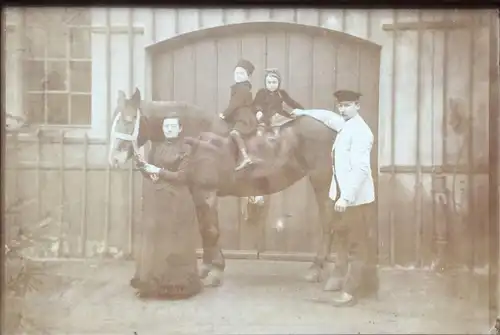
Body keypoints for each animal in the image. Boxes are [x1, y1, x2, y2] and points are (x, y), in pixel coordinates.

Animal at [108, 88, 344, 288]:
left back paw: (316, 269)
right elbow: (204, 228)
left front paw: (216, 271)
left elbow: (211, 230)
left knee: (328, 223)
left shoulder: (207, 192)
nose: (114, 158)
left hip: (322, 181)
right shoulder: (197, 192)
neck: (200, 136)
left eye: (129, 119)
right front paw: (206, 268)